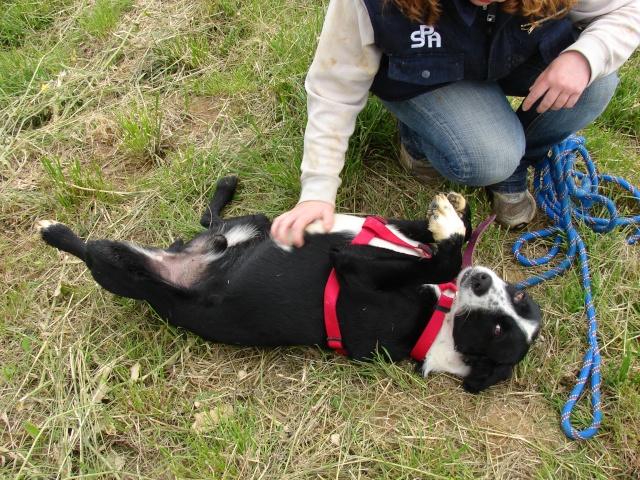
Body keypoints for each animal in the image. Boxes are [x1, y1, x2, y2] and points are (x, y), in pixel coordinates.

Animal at [37, 174, 544, 392]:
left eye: (498, 329)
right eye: (521, 297)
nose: (481, 279)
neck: (439, 317)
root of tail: (188, 257)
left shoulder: (353, 266)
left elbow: (443, 259)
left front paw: (450, 229)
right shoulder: (391, 232)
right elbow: (443, 236)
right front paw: (453, 211)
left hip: (120, 266)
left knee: (90, 249)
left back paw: (51, 230)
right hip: (254, 223)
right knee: (210, 221)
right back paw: (225, 191)